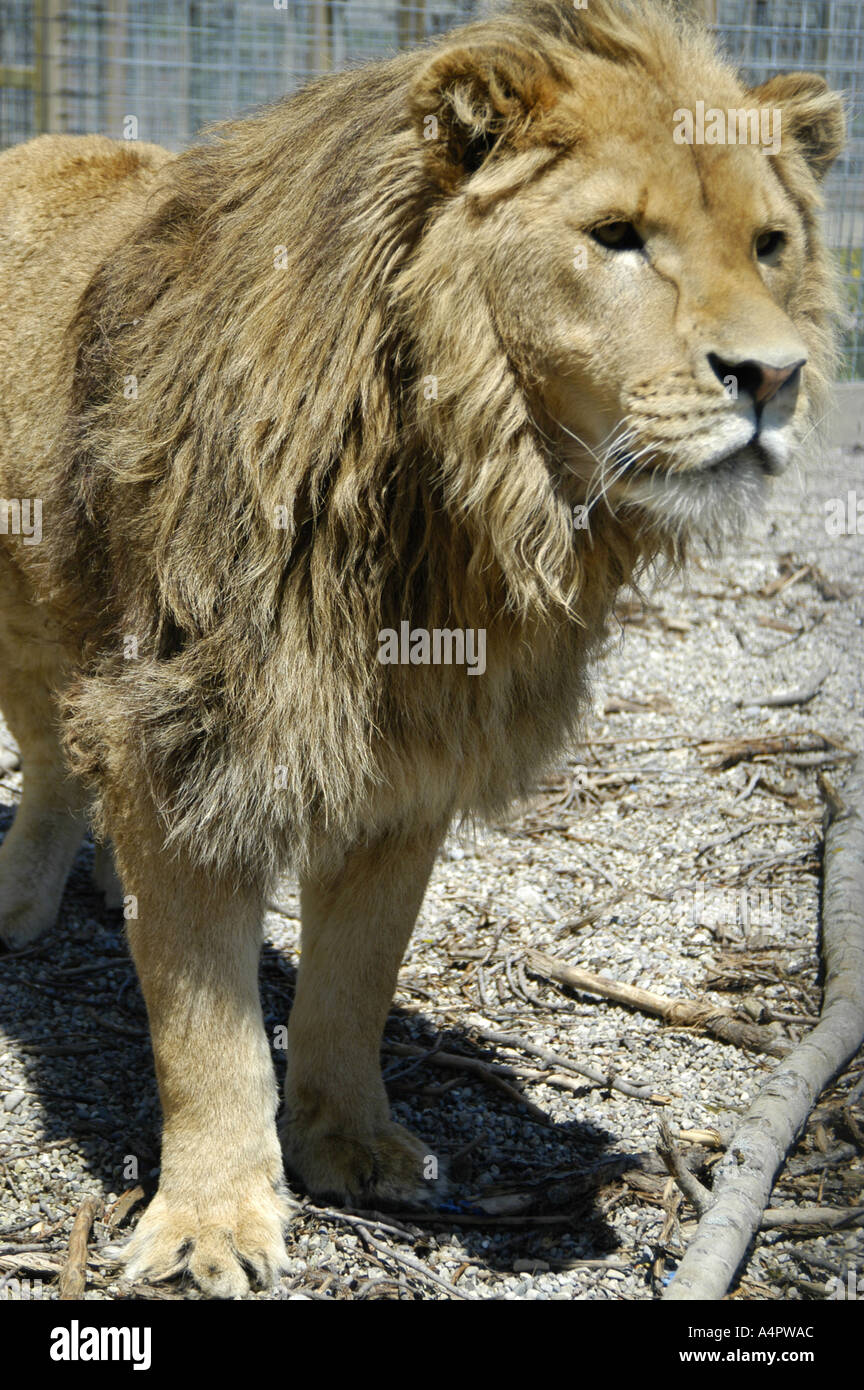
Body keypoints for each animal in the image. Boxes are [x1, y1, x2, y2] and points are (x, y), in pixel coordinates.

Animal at [0, 0, 844, 1295]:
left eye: (771, 244)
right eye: (617, 237)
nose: (773, 377)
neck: (461, 501)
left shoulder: (413, 751)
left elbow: (356, 979)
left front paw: (350, 1144)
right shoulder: (187, 725)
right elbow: (204, 1023)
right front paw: (212, 1222)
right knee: (47, 755)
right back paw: (24, 906)